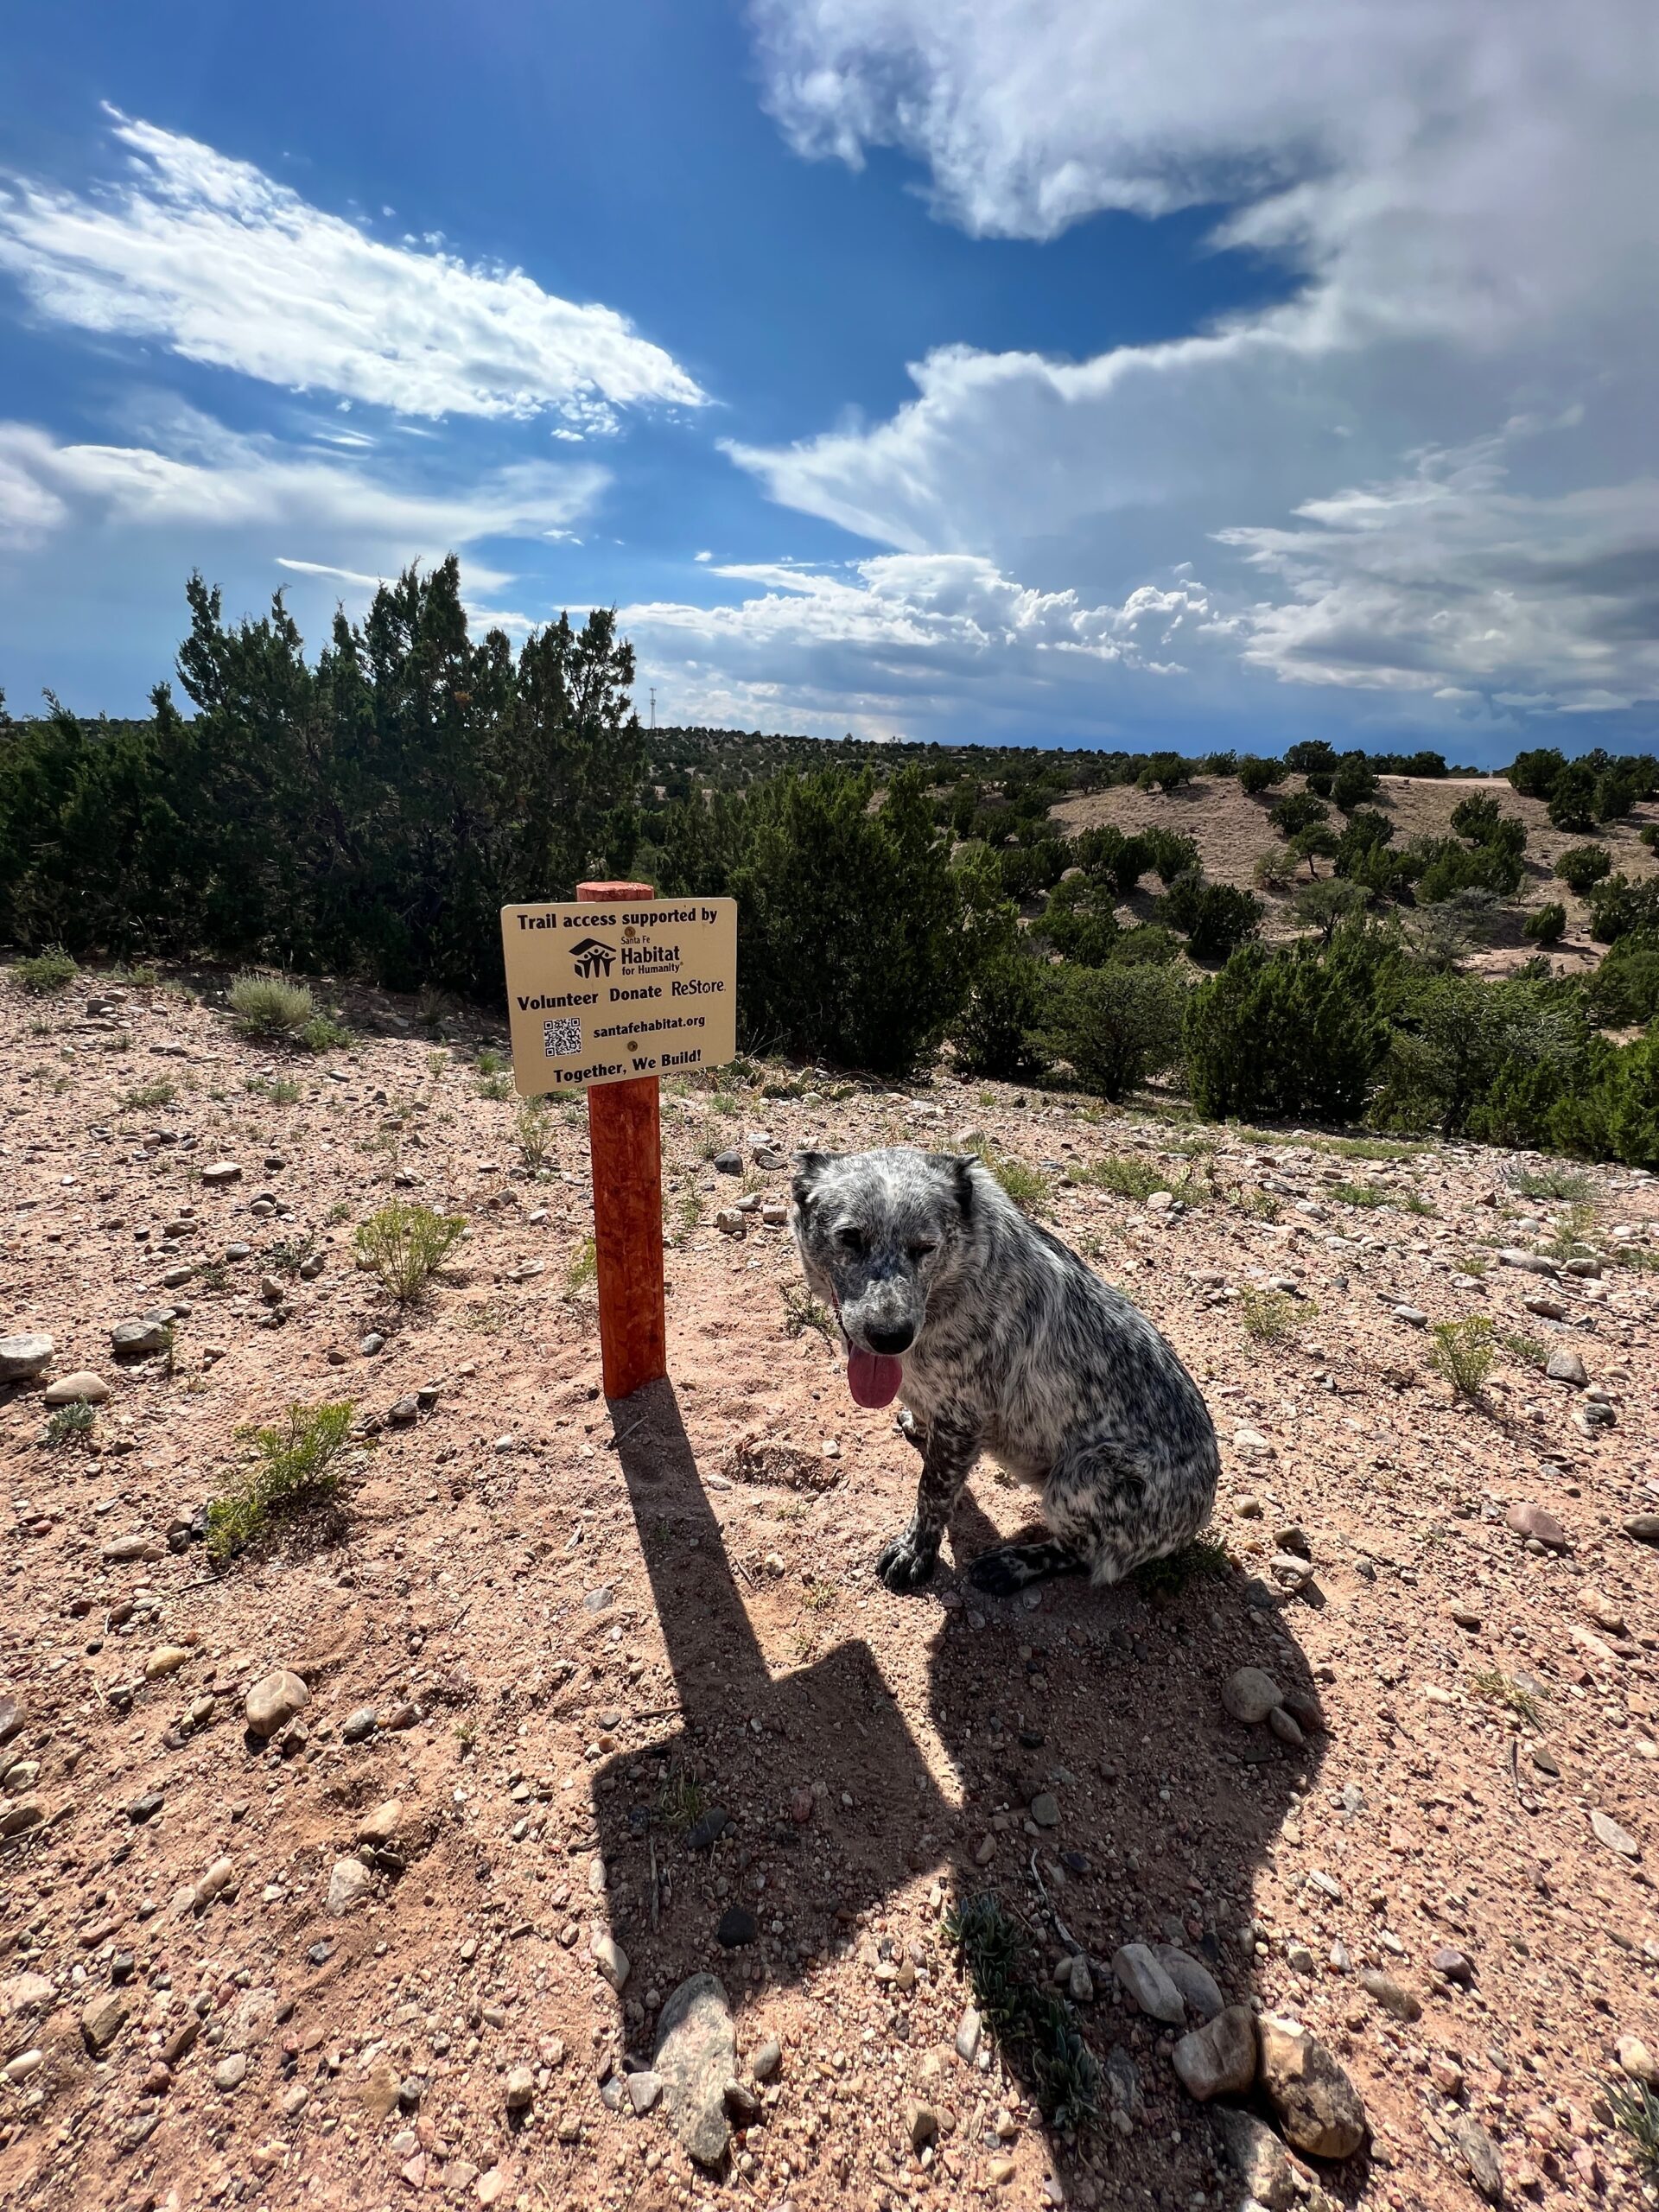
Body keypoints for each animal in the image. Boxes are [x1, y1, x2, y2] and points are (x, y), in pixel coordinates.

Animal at [791, 1150, 1221, 1601]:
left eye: (926, 1248)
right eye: (850, 1238)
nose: (891, 1337)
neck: (956, 1283)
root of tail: (1200, 1514)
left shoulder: (963, 1418)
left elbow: (932, 1493)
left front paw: (915, 1553)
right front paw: (917, 1426)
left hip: (1085, 1475)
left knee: (1082, 1553)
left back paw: (1012, 1564)